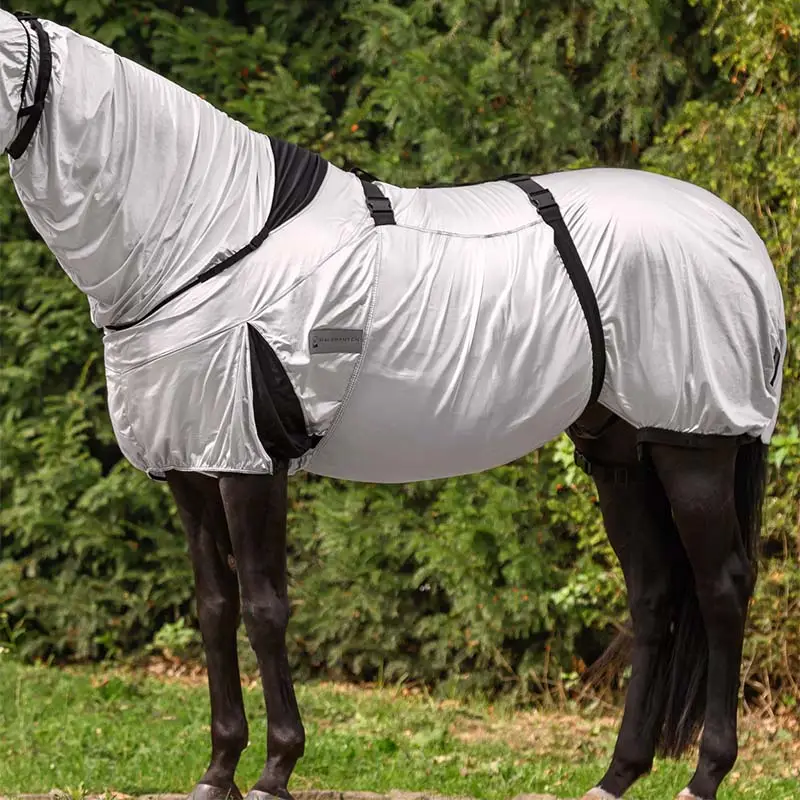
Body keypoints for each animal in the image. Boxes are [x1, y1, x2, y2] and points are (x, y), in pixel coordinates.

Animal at [0, 10, 787, 800]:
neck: (207, 244)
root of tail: (739, 234)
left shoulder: (252, 464)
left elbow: (264, 608)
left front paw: (276, 768)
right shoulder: (191, 465)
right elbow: (216, 610)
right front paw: (218, 770)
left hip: (694, 442)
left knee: (722, 588)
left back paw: (705, 775)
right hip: (619, 452)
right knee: (653, 593)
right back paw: (616, 775)